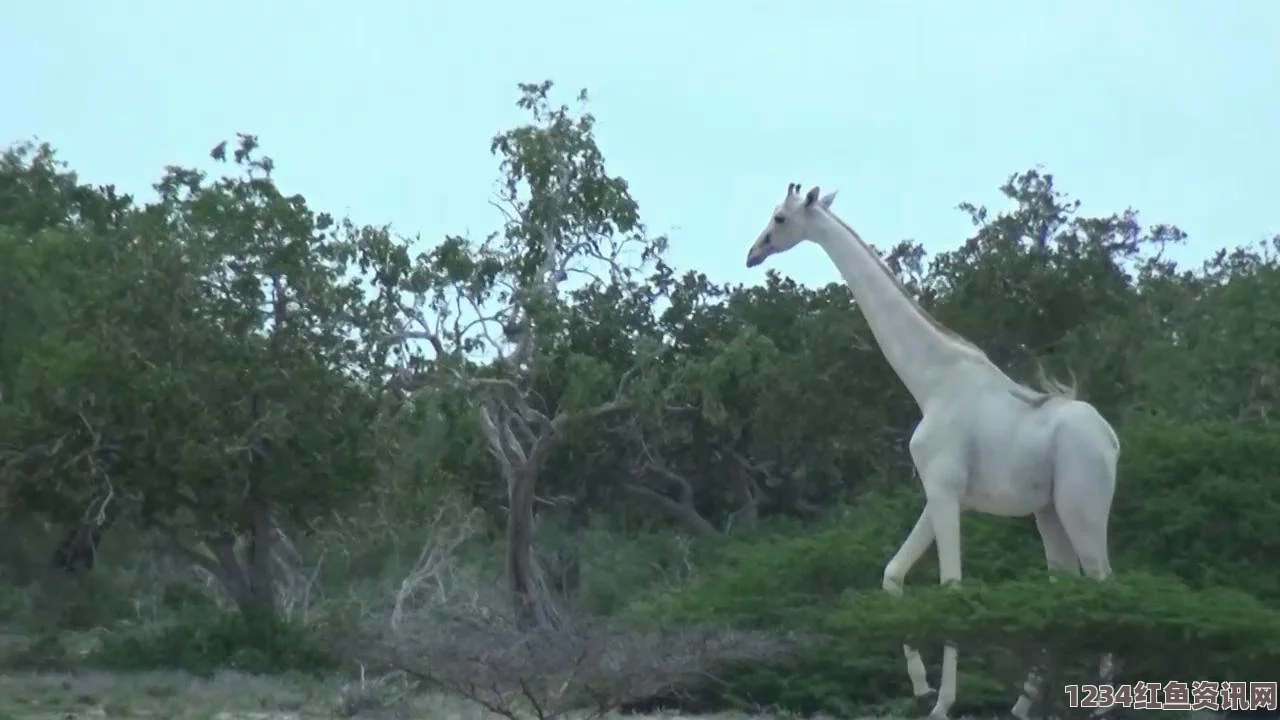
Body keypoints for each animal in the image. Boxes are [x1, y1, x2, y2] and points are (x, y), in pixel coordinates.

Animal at [747, 181, 1116, 712]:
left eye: (779, 218)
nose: (753, 253)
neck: (930, 381)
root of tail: (1112, 440)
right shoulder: (939, 492)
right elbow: (892, 574)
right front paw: (921, 687)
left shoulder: (944, 489)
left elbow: (950, 587)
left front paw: (942, 703)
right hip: (1048, 513)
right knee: (1064, 586)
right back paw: (1023, 706)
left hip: (1081, 507)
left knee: (1104, 584)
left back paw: (1102, 704)